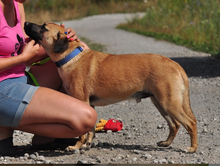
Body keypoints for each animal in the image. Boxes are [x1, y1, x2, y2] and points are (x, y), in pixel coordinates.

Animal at [24, 21, 198, 153]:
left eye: (44, 27)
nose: (25, 23)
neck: (70, 56)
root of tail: (174, 64)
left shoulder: (82, 102)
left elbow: (83, 133)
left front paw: (76, 147)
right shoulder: (90, 106)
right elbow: (91, 129)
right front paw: (87, 145)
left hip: (169, 103)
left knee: (190, 123)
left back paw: (192, 148)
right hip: (160, 103)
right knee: (174, 125)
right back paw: (166, 143)